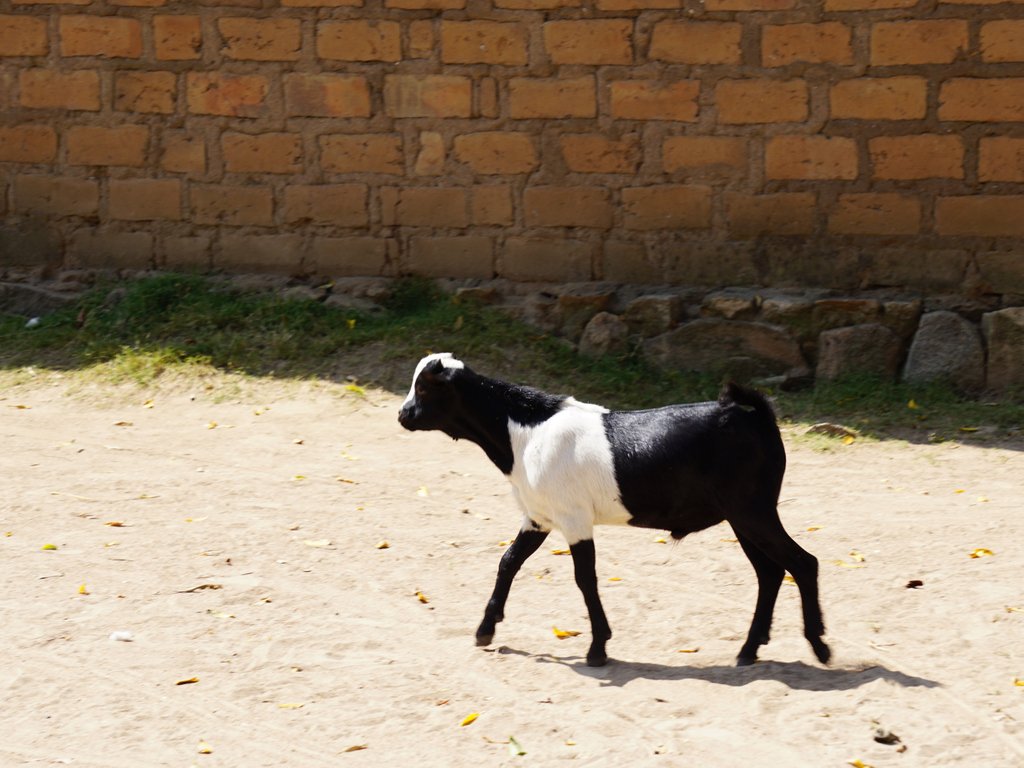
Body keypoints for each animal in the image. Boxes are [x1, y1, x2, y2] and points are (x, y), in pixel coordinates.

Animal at [398, 353, 830, 668]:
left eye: (424, 387)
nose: (402, 415)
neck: (525, 431)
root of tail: (755, 415)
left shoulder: (574, 519)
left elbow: (584, 579)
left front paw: (597, 649)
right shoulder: (539, 517)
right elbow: (508, 562)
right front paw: (485, 630)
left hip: (753, 510)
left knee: (802, 562)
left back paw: (819, 646)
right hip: (742, 516)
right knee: (770, 573)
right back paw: (749, 650)